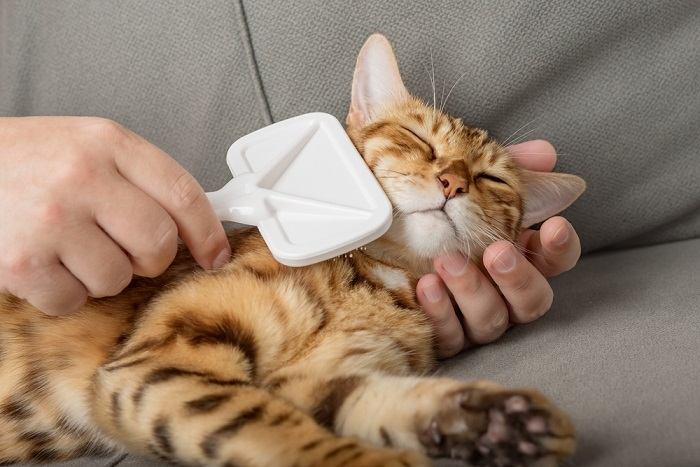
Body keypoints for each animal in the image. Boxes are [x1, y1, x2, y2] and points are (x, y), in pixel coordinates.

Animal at [0, 33, 584, 467]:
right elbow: (277, 430)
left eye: (490, 180)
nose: (452, 182)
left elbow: (370, 401)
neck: (372, 280)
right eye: (419, 139)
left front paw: (495, 421)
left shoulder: (310, 382)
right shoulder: (164, 360)